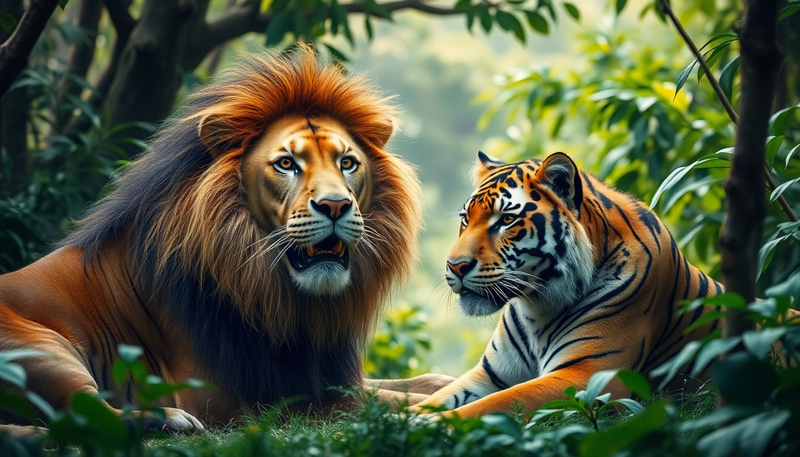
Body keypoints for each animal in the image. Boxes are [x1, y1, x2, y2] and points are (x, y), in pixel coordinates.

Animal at [0, 46, 452, 437]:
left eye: (347, 163)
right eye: (286, 163)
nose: (336, 205)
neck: (290, 303)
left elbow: (413, 383)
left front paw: (445, 383)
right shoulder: (236, 400)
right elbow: (374, 402)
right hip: (40, 349)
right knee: (85, 415)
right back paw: (169, 419)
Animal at [410, 151, 723, 418]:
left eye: (507, 220)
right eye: (465, 219)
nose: (455, 266)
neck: (537, 306)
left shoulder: (592, 374)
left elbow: (497, 403)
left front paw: (428, 424)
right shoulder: (489, 373)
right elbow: (437, 399)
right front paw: (408, 416)